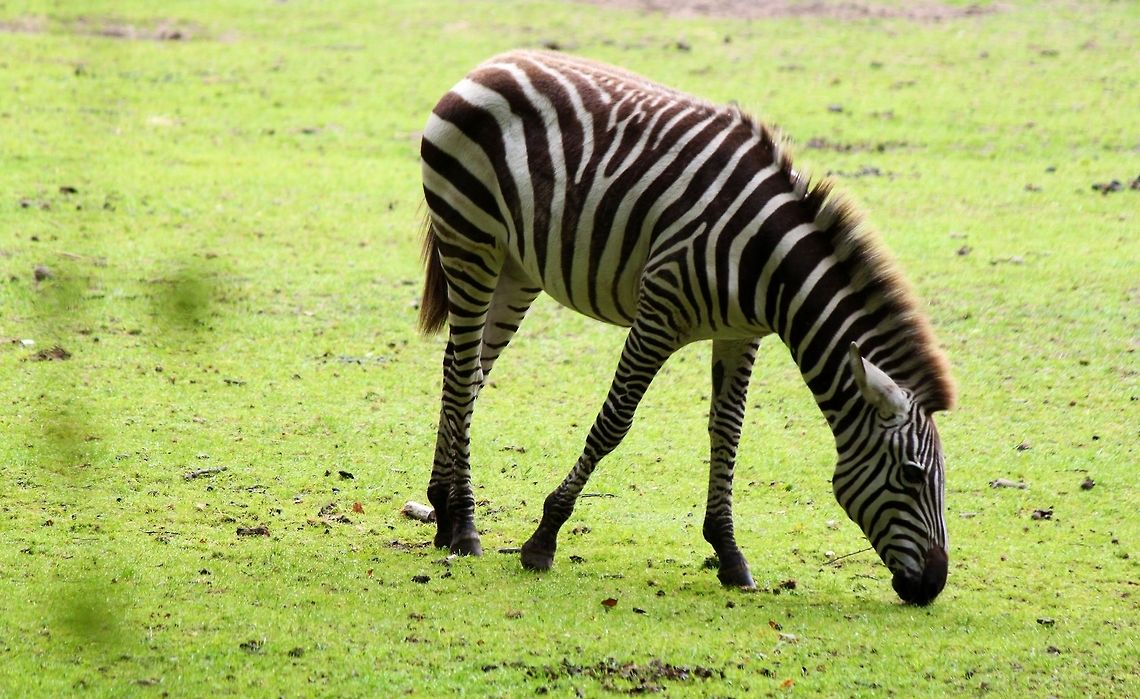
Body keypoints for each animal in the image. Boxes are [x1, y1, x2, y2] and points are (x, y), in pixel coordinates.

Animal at [417, 50, 956, 605]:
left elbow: (728, 430)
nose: (933, 584)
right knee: (464, 372)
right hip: (470, 241)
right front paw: (544, 537)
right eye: (912, 475)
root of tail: (493, 62)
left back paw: (443, 509)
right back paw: (464, 525)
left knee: (464, 370)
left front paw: (729, 552)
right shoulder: (659, 312)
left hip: (516, 267)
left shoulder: (740, 333)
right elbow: (614, 422)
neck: (768, 263)